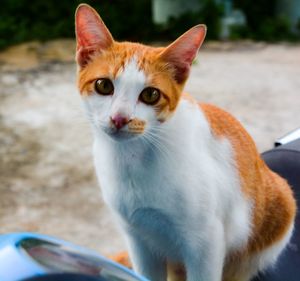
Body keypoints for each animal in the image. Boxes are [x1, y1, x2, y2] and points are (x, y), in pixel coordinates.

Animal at [74, 3, 296, 280]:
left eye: (150, 94)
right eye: (104, 85)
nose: (119, 118)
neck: (132, 157)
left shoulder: (205, 243)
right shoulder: (139, 241)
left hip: (278, 208)